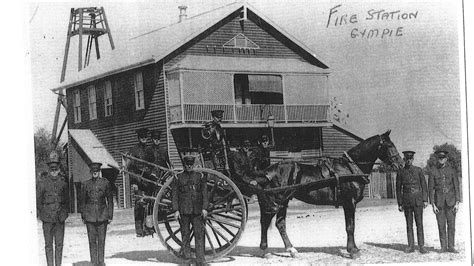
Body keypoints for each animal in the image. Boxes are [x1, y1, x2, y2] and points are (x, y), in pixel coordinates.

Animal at [256, 130, 404, 258]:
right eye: (389, 145)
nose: (401, 164)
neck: (350, 169)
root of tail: (266, 172)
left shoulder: (349, 204)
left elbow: (350, 226)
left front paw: (353, 249)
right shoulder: (349, 203)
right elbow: (350, 227)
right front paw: (353, 250)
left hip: (283, 202)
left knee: (279, 224)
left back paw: (291, 249)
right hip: (276, 202)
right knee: (266, 222)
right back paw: (265, 250)